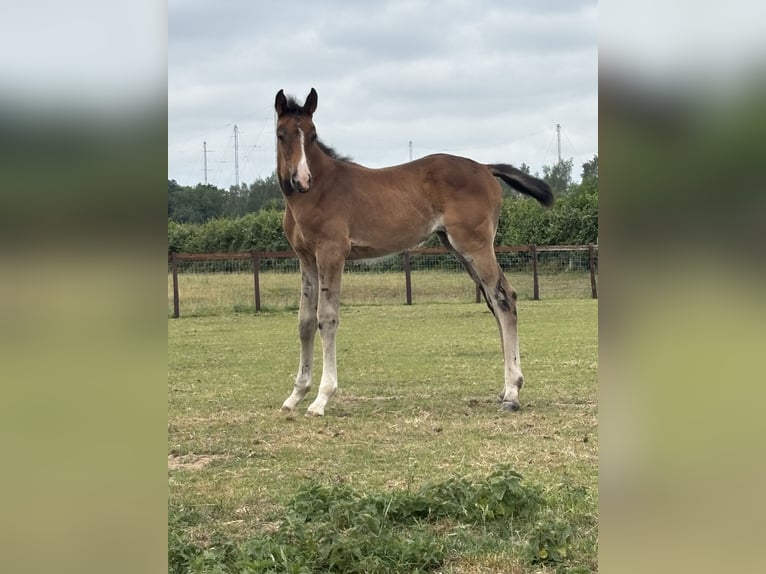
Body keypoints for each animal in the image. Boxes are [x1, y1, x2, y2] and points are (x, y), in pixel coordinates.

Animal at [275, 88, 553, 417]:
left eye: (313, 134)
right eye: (281, 134)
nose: (301, 180)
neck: (317, 191)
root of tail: (486, 167)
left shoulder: (332, 253)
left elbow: (326, 318)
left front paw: (321, 398)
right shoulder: (306, 258)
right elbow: (305, 321)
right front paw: (296, 395)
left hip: (475, 245)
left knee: (503, 298)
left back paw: (512, 393)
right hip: (457, 247)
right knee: (495, 300)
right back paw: (506, 388)